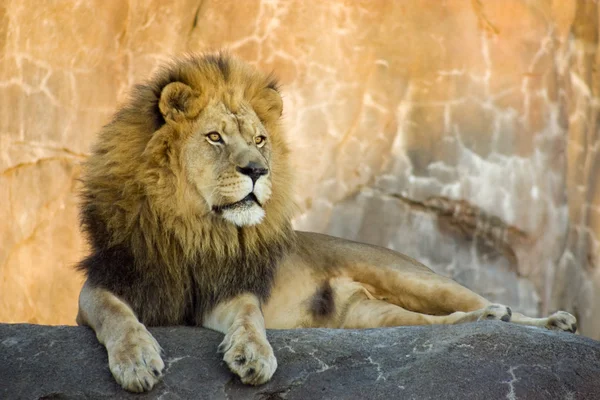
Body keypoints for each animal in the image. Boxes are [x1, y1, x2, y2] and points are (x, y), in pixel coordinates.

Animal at [75, 51, 576, 392]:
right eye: (215, 137)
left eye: (260, 139)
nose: (258, 170)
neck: (198, 228)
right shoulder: (104, 284)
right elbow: (116, 315)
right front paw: (137, 361)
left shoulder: (230, 289)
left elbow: (249, 315)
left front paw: (253, 355)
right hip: (371, 318)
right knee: (432, 324)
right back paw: (487, 318)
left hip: (413, 277)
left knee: (474, 303)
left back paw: (541, 320)